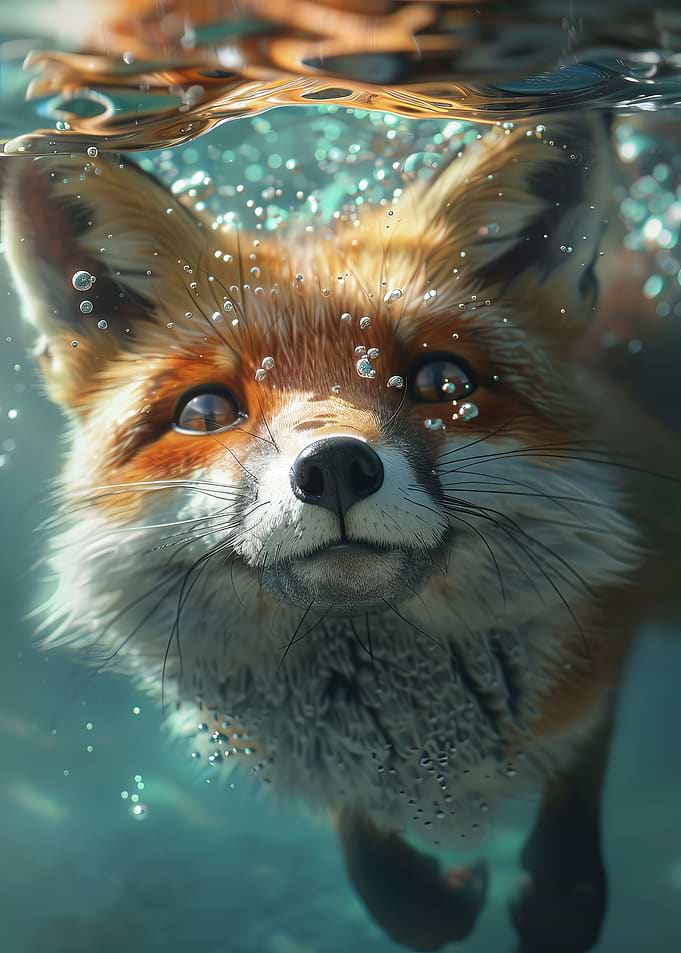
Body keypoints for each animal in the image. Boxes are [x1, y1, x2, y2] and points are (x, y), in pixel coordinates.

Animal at [2, 114, 680, 953]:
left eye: (442, 382)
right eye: (205, 409)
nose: (332, 467)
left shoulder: (613, 620)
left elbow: (575, 795)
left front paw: (557, 896)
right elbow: (376, 867)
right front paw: (428, 895)